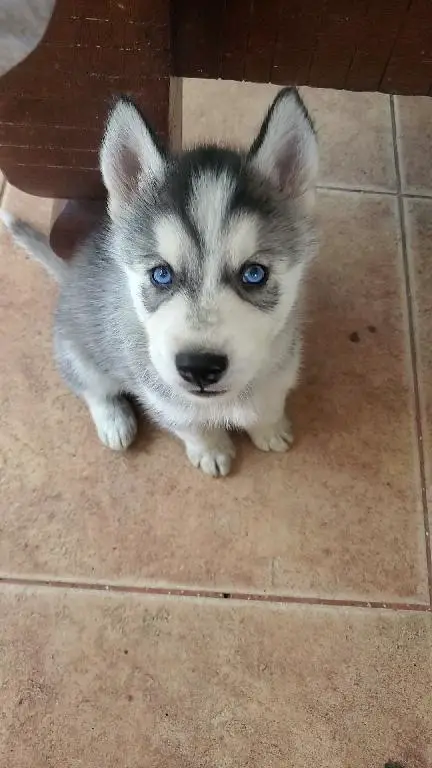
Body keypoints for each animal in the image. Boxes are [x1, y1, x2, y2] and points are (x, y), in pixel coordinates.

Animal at [1, 87, 318, 476]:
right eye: (161, 274)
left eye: (254, 273)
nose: (199, 367)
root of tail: (70, 273)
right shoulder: (161, 395)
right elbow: (192, 426)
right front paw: (211, 450)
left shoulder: (283, 363)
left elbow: (270, 402)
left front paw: (269, 429)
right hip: (79, 350)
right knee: (91, 386)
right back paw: (114, 420)